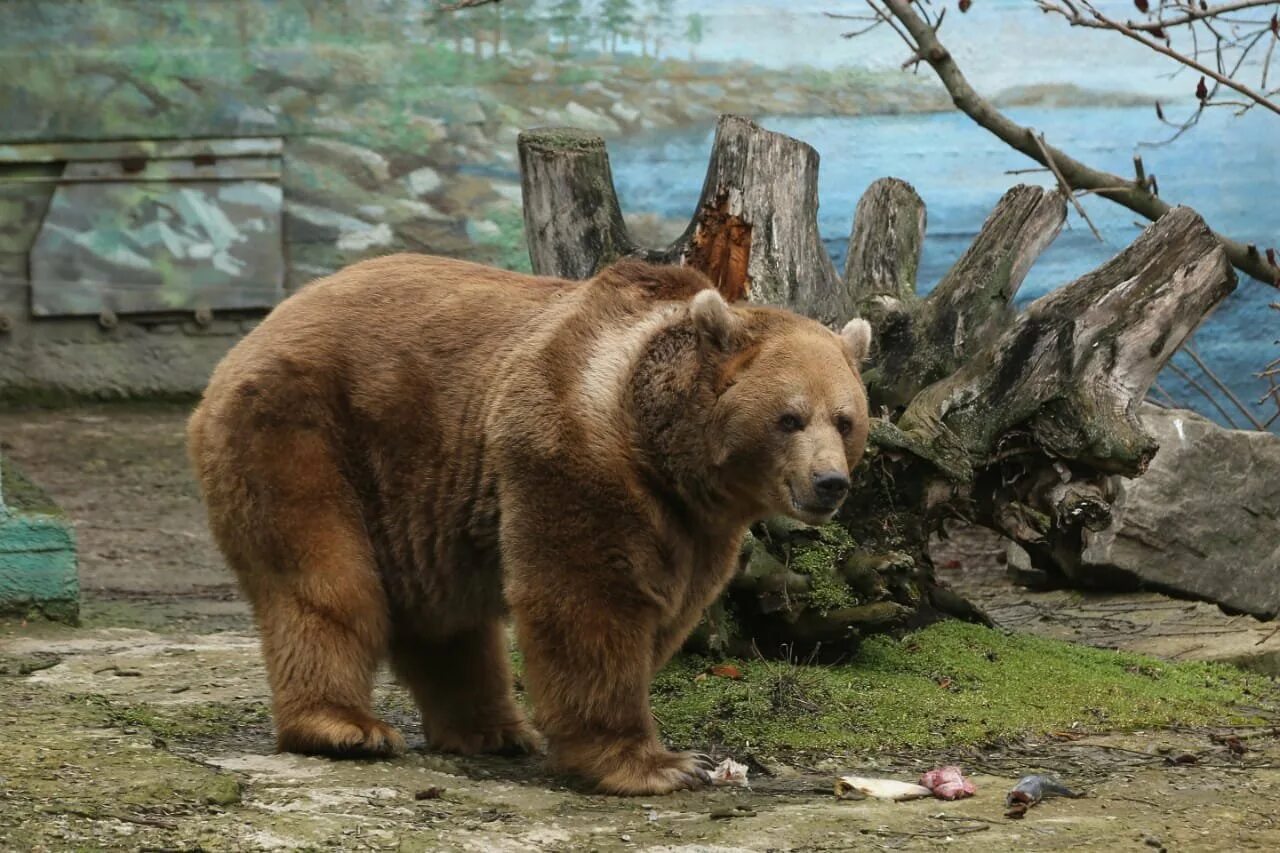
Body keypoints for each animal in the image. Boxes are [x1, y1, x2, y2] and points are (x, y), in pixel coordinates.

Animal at [186, 251, 870, 788]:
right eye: (789, 417)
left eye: (845, 419)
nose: (829, 483)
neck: (662, 447)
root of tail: (257, 330)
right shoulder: (572, 452)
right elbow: (586, 599)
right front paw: (657, 762)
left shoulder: (698, 524)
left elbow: (670, 607)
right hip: (301, 432)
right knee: (326, 581)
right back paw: (345, 727)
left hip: (419, 492)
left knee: (448, 619)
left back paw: (492, 729)